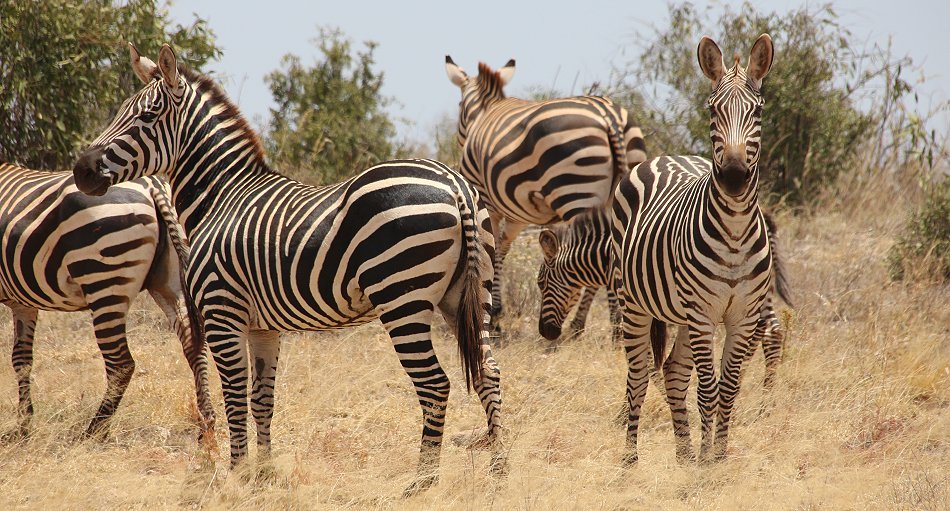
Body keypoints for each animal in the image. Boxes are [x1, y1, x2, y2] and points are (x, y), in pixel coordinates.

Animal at [71, 45, 506, 496]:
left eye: (147, 116)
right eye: (122, 111)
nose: (80, 170)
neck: (221, 197)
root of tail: (454, 182)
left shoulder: (223, 314)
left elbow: (235, 397)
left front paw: (236, 474)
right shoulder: (263, 327)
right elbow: (262, 399)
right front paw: (262, 475)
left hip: (402, 298)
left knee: (435, 385)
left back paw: (422, 482)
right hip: (470, 295)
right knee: (489, 374)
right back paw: (498, 471)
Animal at [444, 56, 652, 334]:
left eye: (458, 105)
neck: (487, 110)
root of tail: (609, 115)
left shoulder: (487, 201)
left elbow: (492, 249)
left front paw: (495, 315)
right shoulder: (517, 214)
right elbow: (503, 248)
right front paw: (497, 311)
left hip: (575, 190)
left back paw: (606, 324)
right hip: (624, 182)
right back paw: (592, 323)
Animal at [540, 206, 792, 390]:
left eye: (540, 284)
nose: (546, 332)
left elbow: (648, 359)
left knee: (764, 332)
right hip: (757, 292)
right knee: (772, 332)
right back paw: (764, 402)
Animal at [612, 33, 776, 464]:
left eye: (757, 111)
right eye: (713, 110)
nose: (734, 178)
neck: (734, 232)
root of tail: (669, 155)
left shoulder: (742, 317)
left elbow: (729, 388)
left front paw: (715, 458)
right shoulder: (703, 316)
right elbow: (708, 390)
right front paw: (706, 462)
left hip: (682, 313)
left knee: (672, 370)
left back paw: (684, 454)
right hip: (633, 301)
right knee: (638, 375)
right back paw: (631, 460)